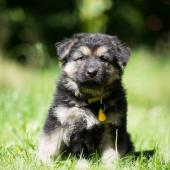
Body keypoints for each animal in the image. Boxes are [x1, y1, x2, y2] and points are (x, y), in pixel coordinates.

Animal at [37, 32, 134, 165]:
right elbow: (49, 143)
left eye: (104, 59)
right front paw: (44, 162)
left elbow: (112, 150)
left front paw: (111, 164)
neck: (89, 100)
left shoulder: (113, 126)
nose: (91, 72)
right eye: (81, 58)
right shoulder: (59, 119)